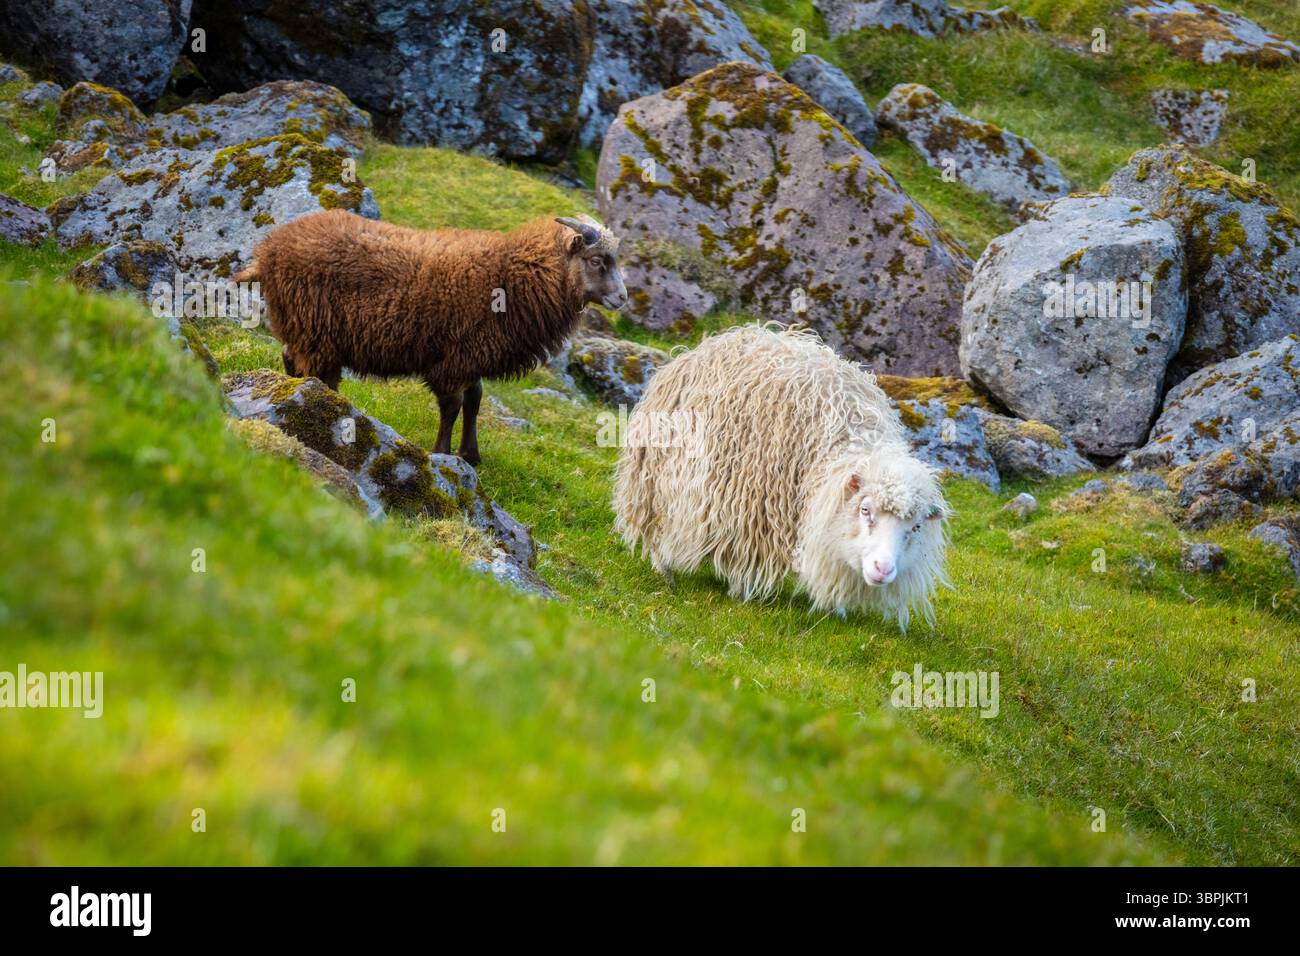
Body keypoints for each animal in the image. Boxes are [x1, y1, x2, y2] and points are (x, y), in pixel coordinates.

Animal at [236, 210, 627, 465]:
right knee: (315, 372)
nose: (622, 298)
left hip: (305, 327)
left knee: (292, 359)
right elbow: (453, 405)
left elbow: (475, 400)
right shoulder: (455, 357)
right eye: (596, 261)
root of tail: (268, 251)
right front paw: (442, 453)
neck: (511, 274)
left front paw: (471, 455)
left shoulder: (472, 355)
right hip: (315, 329)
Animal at [613, 325, 951, 630]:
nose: (883, 569)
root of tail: (704, 346)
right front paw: (741, 592)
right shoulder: (749, 501)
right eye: (865, 510)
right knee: (656, 527)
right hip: (656, 482)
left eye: (916, 527)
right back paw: (665, 571)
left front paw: (838, 611)